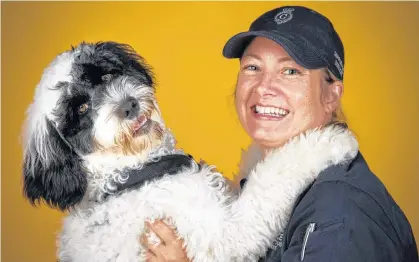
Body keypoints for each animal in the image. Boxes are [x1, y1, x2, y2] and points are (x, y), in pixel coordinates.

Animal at [21, 42, 360, 260]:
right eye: (80, 108)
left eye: (105, 76)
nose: (128, 105)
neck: (133, 172)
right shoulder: (222, 235)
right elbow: (273, 175)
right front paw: (332, 141)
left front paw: (254, 153)